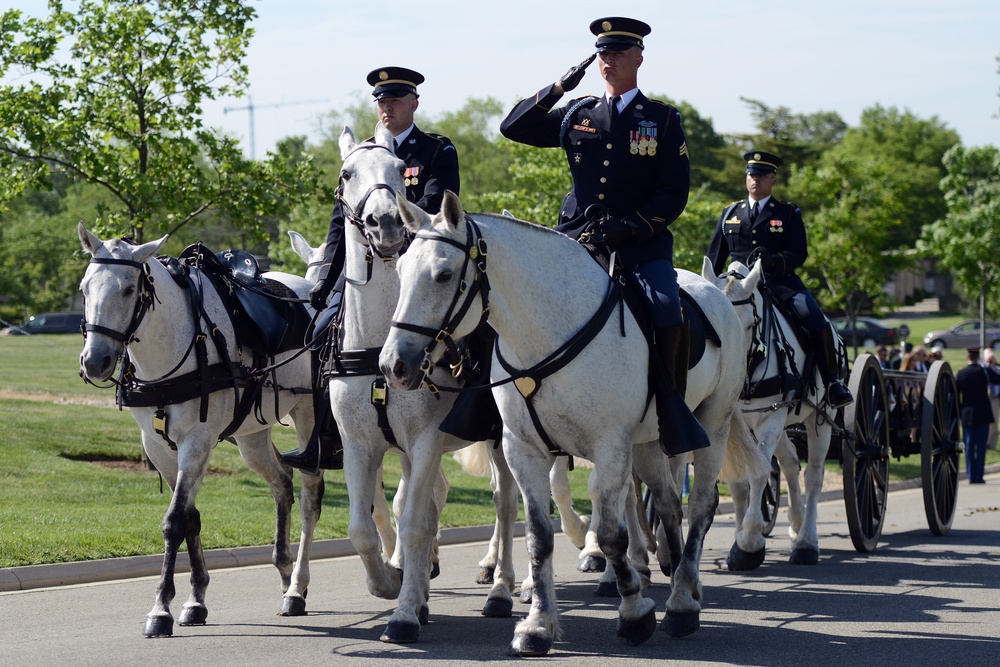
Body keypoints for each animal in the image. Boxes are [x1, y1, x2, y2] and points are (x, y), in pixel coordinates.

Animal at [81, 223, 328, 636]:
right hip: (251, 436)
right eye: (85, 287)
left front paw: (160, 609)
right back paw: (283, 568)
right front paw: (196, 599)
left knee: (310, 496)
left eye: (128, 289)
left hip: (309, 418)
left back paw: (297, 587)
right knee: (281, 482)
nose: (94, 361)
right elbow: (191, 518)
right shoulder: (157, 447)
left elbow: (174, 521)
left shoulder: (197, 441)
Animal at [328, 122, 520, 644]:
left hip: (501, 439)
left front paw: (406, 611)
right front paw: (393, 583)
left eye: (401, 170)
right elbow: (363, 526)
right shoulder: (360, 444)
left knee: (507, 503)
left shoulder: (426, 440)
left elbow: (414, 522)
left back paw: (505, 587)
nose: (387, 224)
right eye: (347, 173)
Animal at [380, 193, 764, 656]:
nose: (394, 365)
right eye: (400, 271)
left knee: (702, 504)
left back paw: (682, 603)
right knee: (669, 503)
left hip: (713, 425)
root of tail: (717, 293)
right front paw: (537, 625)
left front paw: (633, 612)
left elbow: (612, 532)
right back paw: (678, 583)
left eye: (443, 274)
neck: (545, 333)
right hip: (647, 444)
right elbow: (538, 535)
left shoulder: (609, 449)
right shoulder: (523, 449)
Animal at [708, 260, 840, 568]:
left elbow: (759, 473)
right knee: (791, 463)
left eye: (747, 324)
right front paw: (739, 536)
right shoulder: (733, 425)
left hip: (820, 418)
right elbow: (739, 482)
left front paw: (748, 543)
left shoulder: (772, 418)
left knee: (813, 475)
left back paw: (806, 542)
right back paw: (796, 522)